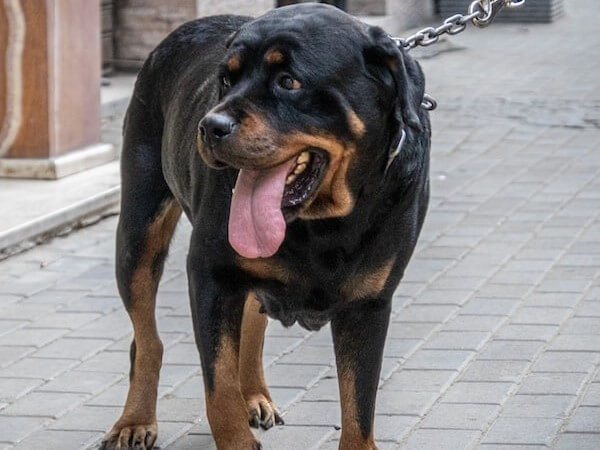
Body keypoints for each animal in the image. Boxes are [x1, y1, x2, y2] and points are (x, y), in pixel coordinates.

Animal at [103, 3, 428, 450]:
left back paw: (254, 395)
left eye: (289, 82)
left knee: (252, 320)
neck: (321, 225)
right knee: (147, 337)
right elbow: (219, 388)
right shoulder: (211, 274)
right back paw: (135, 421)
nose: (211, 126)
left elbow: (359, 408)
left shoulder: (369, 304)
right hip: (138, 232)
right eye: (225, 80)